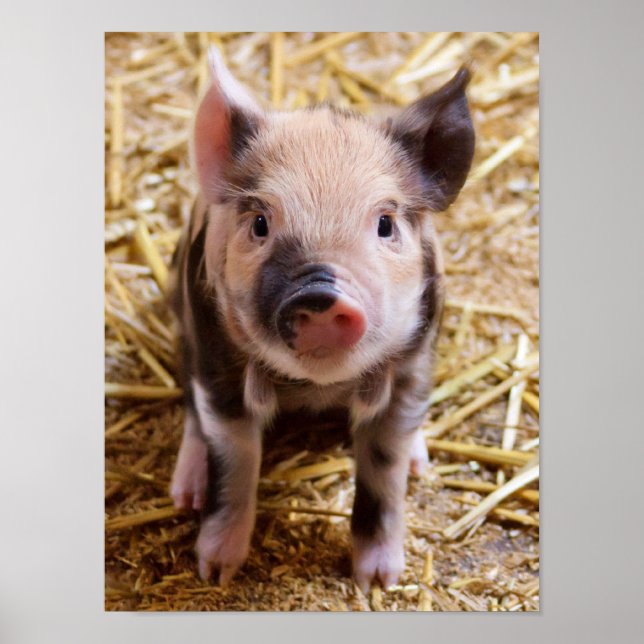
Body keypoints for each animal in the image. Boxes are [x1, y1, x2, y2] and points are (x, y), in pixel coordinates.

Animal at [168, 48, 475, 591]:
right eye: (260, 223)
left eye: (385, 225)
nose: (319, 294)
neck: (316, 388)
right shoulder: (216, 359)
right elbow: (235, 461)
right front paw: (216, 572)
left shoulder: (413, 365)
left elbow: (385, 469)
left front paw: (379, 582)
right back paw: (185, 494)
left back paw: (421, 465)